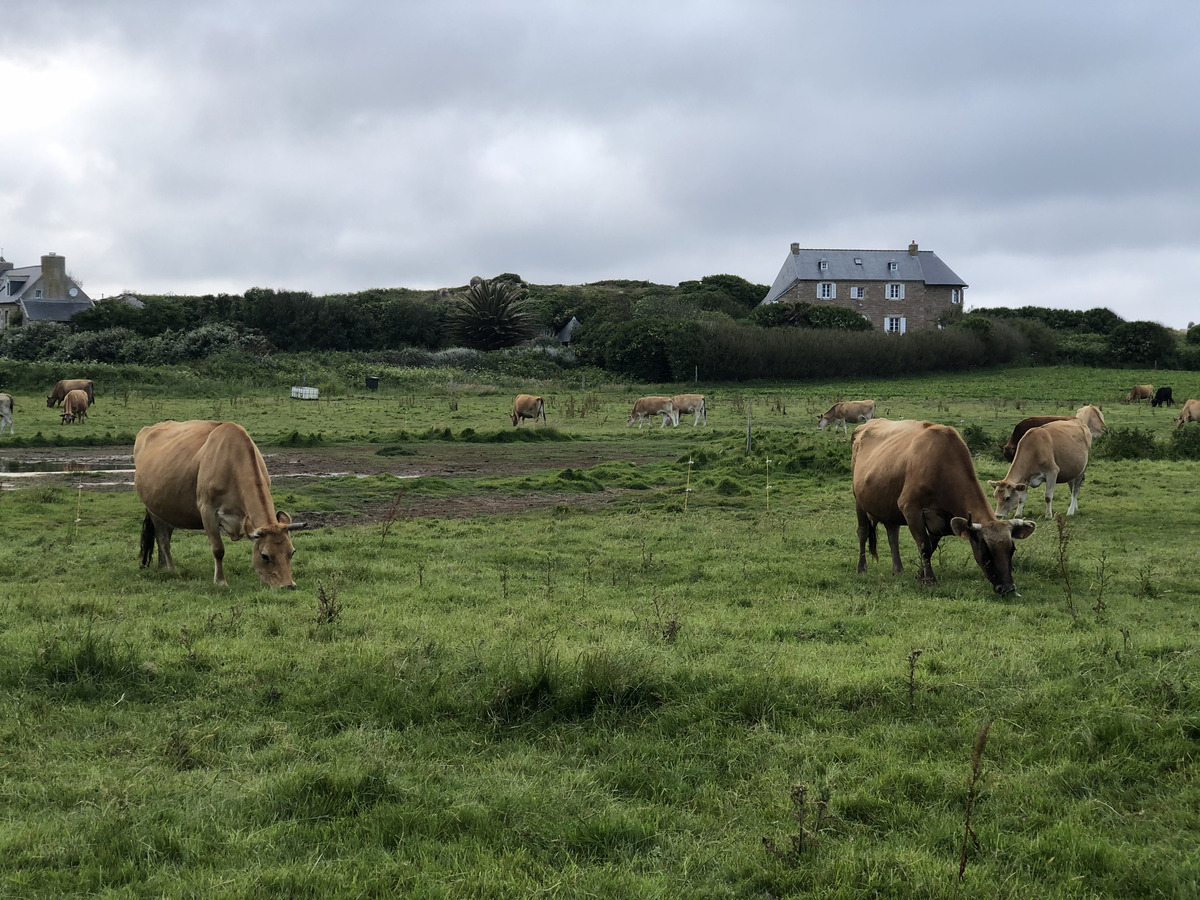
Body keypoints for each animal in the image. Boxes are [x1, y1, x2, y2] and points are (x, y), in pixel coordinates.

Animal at [133, 422, 307, 592]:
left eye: (292, 552)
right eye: (265, 556)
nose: (288, 586)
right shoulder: (207, 510)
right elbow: (218, 549)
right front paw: (220, 581)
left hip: (168, 510)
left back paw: (162, 566)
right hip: (153, 508)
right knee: (163, 539)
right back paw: (172, 570)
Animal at [849, 420, 1036, 595]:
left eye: (1012, 550)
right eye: (985, 551)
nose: (1008, 588)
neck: (941, 464)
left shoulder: (944, 521)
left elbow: (930, 546)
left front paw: (920, 575)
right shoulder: (910, 508)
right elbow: (924, 545)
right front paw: (930, 579)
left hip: (888, 507)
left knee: (892, 534)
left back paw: (898, 569)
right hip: (858, 499)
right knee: (863, 532)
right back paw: (861, 568)